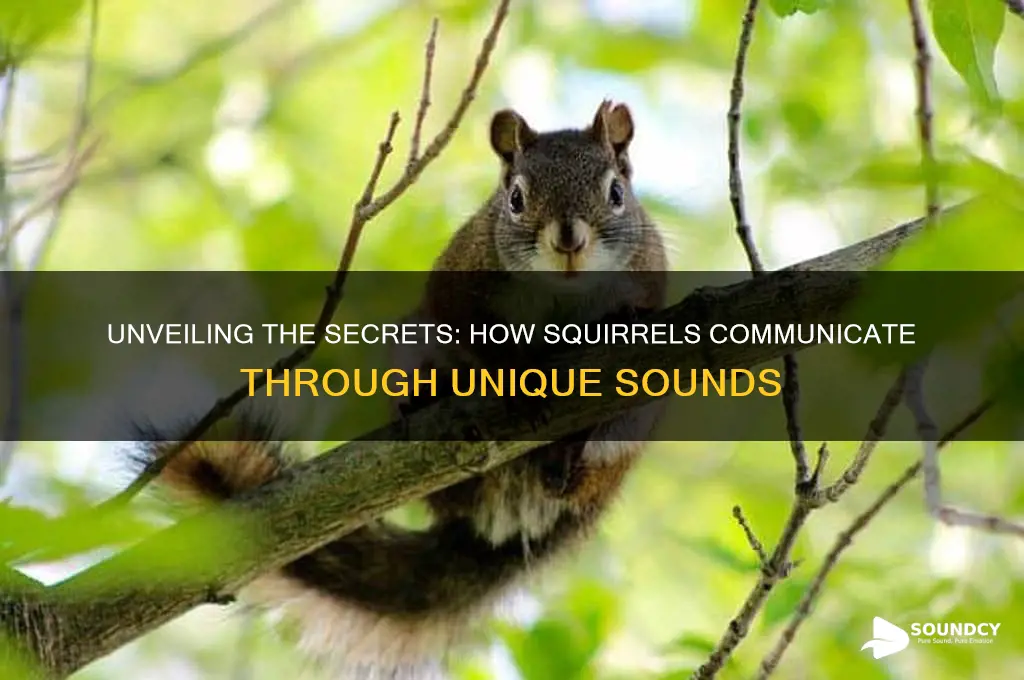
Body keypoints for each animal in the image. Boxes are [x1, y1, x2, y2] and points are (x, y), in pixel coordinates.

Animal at [136, 100, 668, 679]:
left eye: (616, 192)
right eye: (516, 198)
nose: (568, 240)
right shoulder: (457, 288)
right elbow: (472, 339)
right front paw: (507, 375)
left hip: (626, 441)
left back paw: (564, 457)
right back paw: (430, 399)